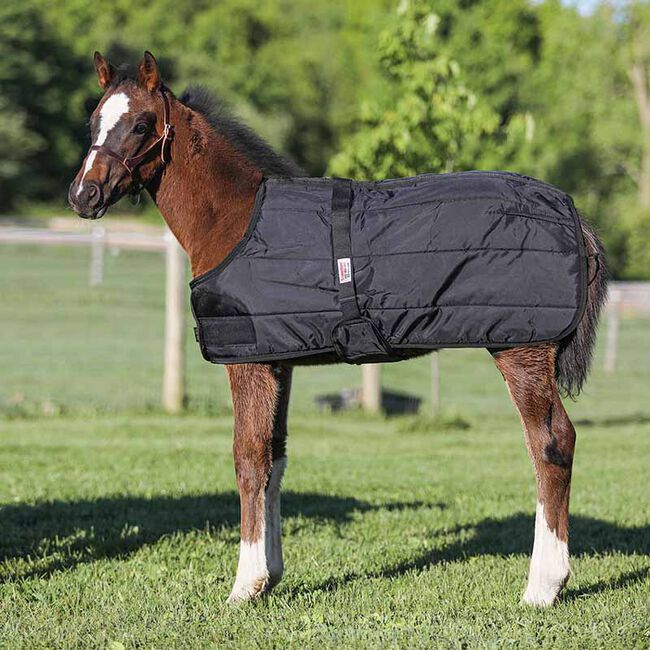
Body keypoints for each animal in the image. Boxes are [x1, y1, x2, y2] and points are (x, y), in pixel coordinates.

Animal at [68, 51, 607, 606]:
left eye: (141, 124)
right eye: (93, 121)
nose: (83, 195)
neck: (236, 218)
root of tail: (572, 215)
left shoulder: (248, 363)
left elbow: (247, 460)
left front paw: (244, 585)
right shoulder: (279, 362)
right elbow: (274, 459)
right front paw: (270, 575)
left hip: (521, 350)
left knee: (551, 444)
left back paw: (543, 586)